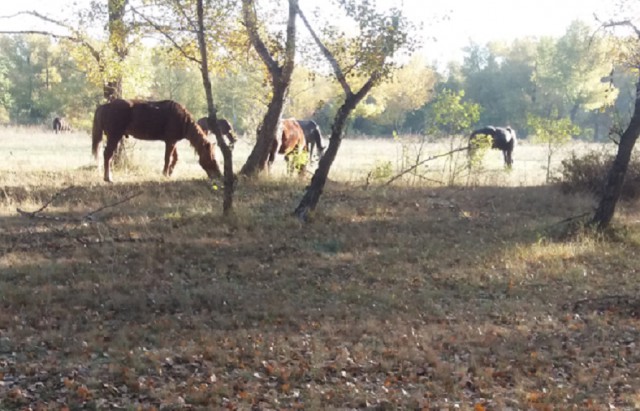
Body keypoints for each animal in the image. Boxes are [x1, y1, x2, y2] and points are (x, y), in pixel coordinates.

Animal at [89, 99, 221, 183]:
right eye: (213, 159)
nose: (219, 176)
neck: (184, 121)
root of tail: (105, 106)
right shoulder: (170, 141)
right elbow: (167, 158)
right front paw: (165, 174)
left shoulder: (172, 141)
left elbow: (175, 158)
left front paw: (170, 173)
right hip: (114, 136)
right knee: (107, 154)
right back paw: (108, 178)